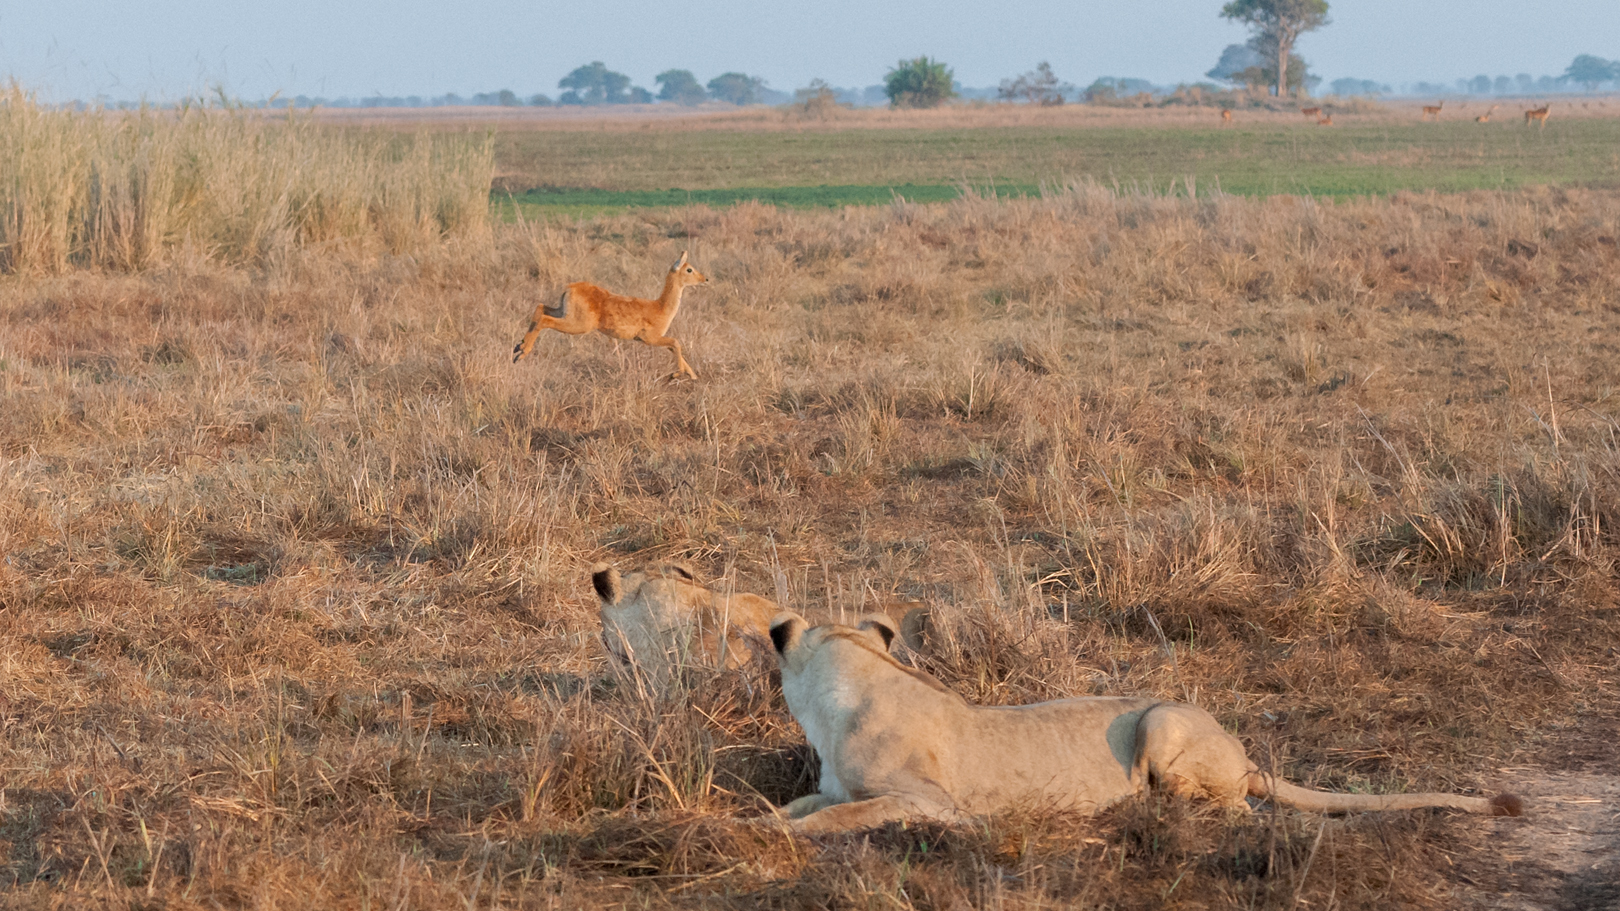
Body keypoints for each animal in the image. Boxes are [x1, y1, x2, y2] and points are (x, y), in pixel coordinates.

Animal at [508, 248, 706, 376]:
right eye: (689, 269)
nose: (705, 279)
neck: (660, 307)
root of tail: (569, 288)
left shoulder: (657, 339)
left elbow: (675, 348)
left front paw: (693, 377)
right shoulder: (649, 338)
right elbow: (676, 342)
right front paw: (677, 375)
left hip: (563, 313)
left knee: (540, 308)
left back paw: (519, 346)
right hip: (577, 325)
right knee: (544, 320)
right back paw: (521, 353)